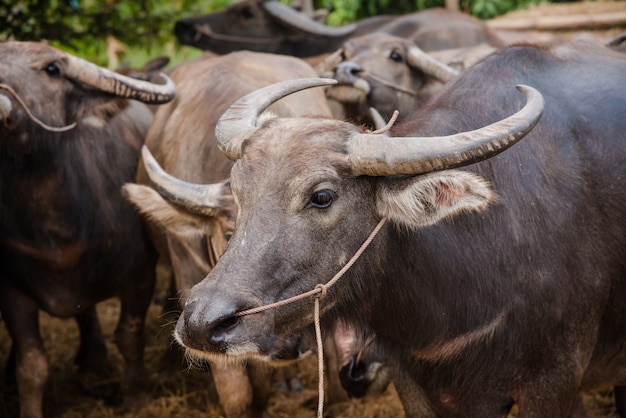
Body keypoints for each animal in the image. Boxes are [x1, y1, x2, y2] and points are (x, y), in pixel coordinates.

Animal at [0, 41, 174, 418]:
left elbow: (129, 338)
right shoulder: (13, 291)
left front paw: (136, 397)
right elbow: (32, 365)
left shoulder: (141, 277)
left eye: (52, 69)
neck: (58, 234)